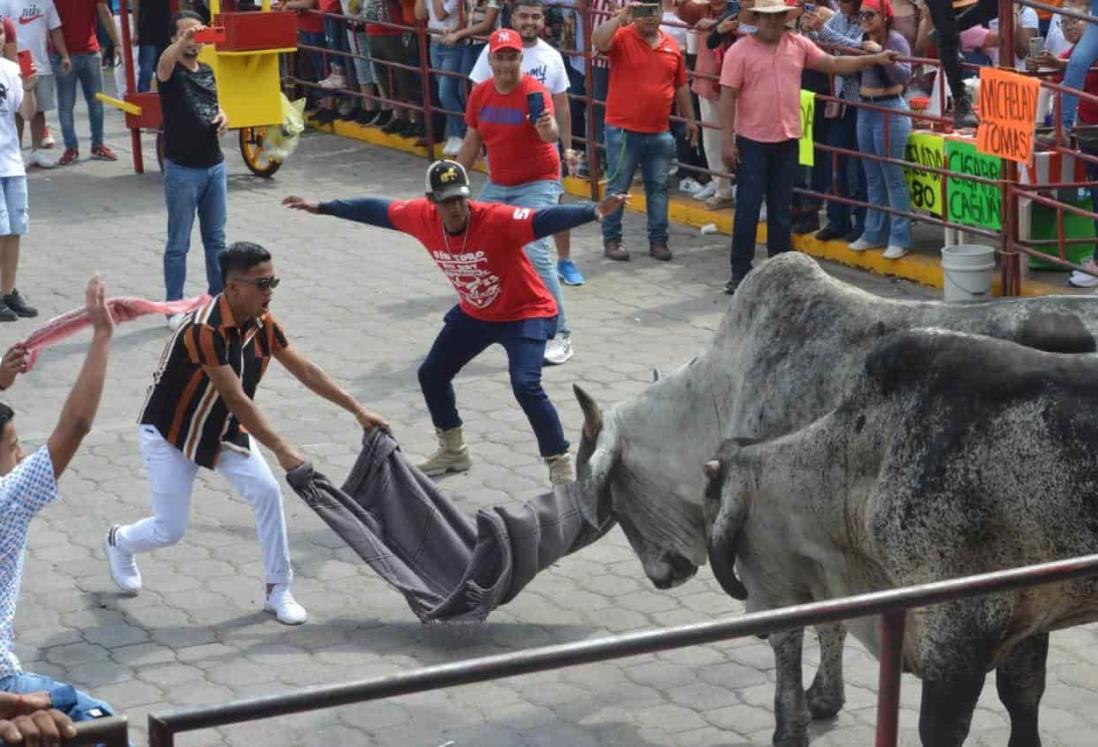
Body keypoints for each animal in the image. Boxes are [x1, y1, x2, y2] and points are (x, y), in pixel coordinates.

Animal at [570, 252, 1098, 747]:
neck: (722, 386)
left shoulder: (774, 544)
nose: (660, 575)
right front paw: (826, 696)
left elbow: (796, 635)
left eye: (613, 502)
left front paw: (795, 720)